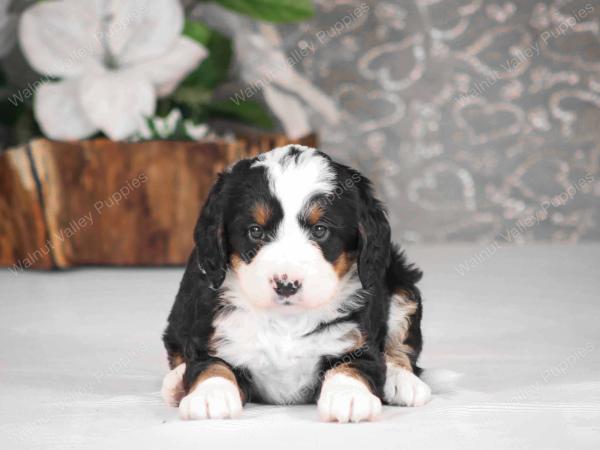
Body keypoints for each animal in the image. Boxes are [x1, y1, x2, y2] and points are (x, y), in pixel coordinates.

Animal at [162, 146, 428, 424]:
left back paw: (403, 382)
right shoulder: (212, 335)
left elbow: (352, 365)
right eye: (255, 231)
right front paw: (209, 396)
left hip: (401, 285)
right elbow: (211, 365)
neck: (286, 320)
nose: (286, 284)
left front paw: (349, 396)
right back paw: (175, 383)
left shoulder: (358, 341)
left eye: (320, 230)